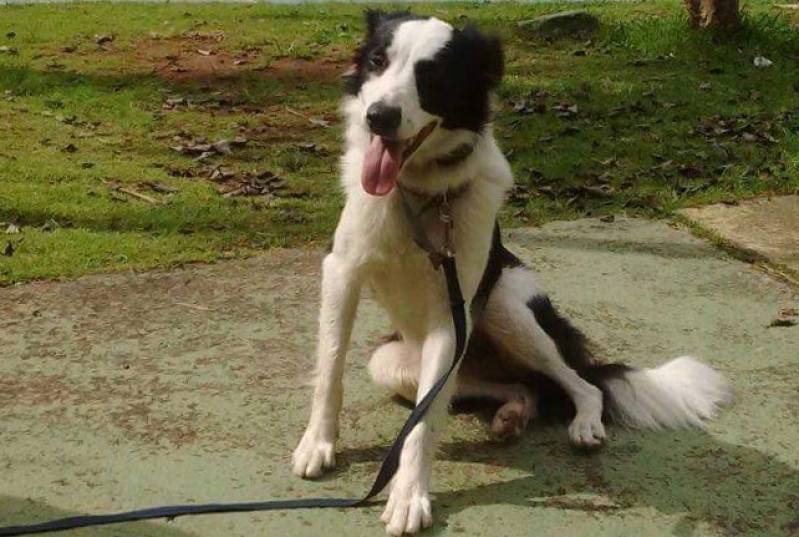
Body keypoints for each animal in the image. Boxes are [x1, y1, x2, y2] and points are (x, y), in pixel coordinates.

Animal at [292, 11, 732, 532]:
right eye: (378, 61)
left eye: (432, 76)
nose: (378, 117)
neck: (421, 196)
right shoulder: (342, 272)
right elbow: (330, 369)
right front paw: (318, 444)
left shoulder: (453, 310)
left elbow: (424, 421)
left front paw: (408, 495)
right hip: (395, 362)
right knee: (520, 385)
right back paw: (512, 414)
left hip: (507, 308)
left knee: (582, 384)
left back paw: (583, 420)